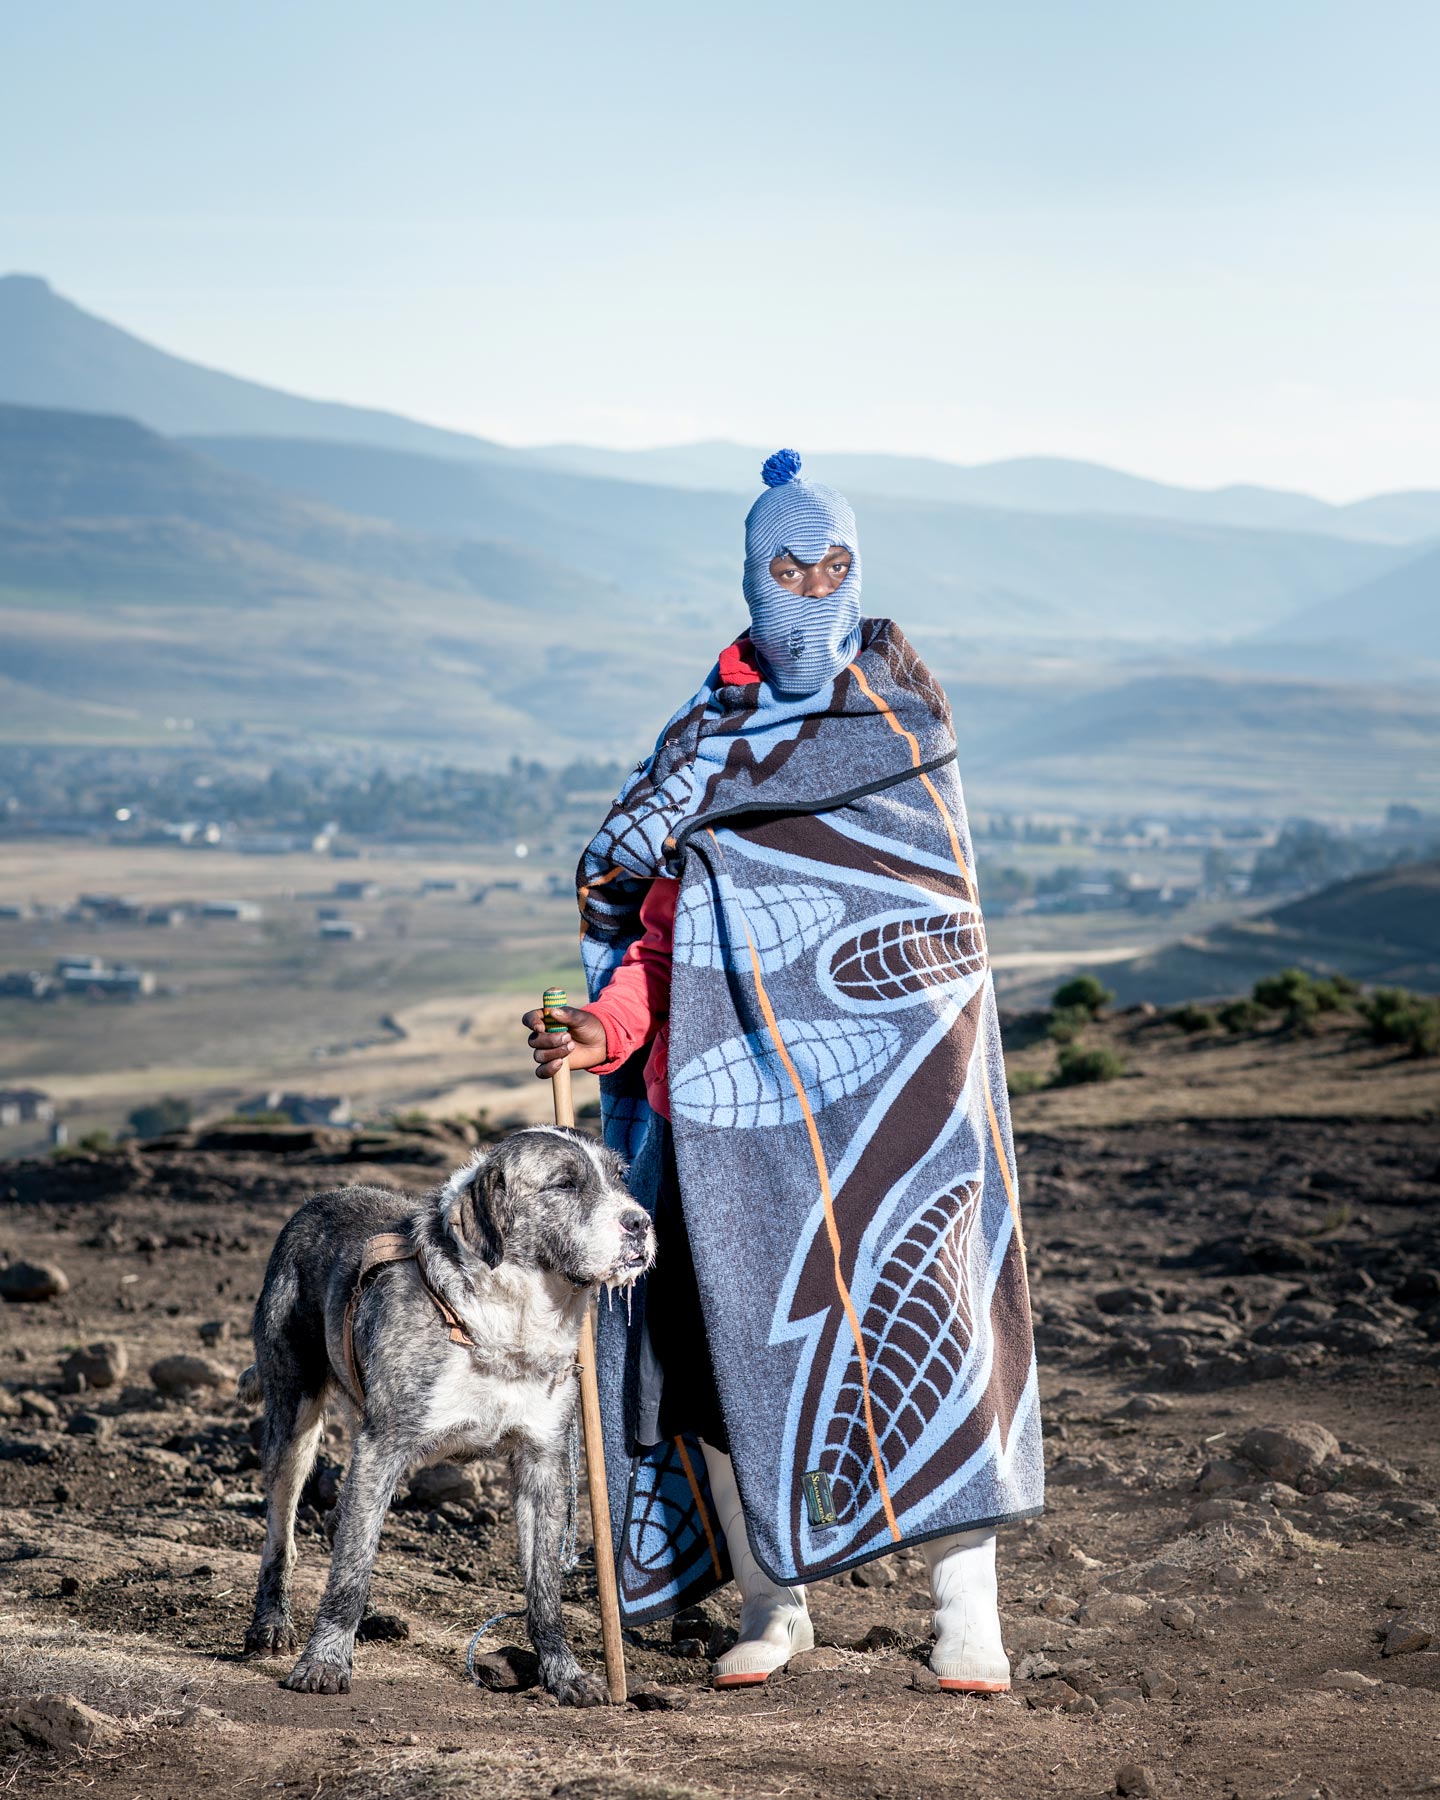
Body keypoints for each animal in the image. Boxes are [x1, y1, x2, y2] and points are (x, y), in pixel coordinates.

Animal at [239, 1123, 655, 1699]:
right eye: (564, 1184)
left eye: (619, 1177)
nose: (641, 1223)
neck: (507, 1321)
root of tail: (317, 1200)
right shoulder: (381, 1447)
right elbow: (350, 1568)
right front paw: (324, 1662)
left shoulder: (542, 1461)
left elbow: (544, 1588)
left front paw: (562, 1673)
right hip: (293, 1421)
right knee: (283, 1530)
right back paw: (271, 1623)